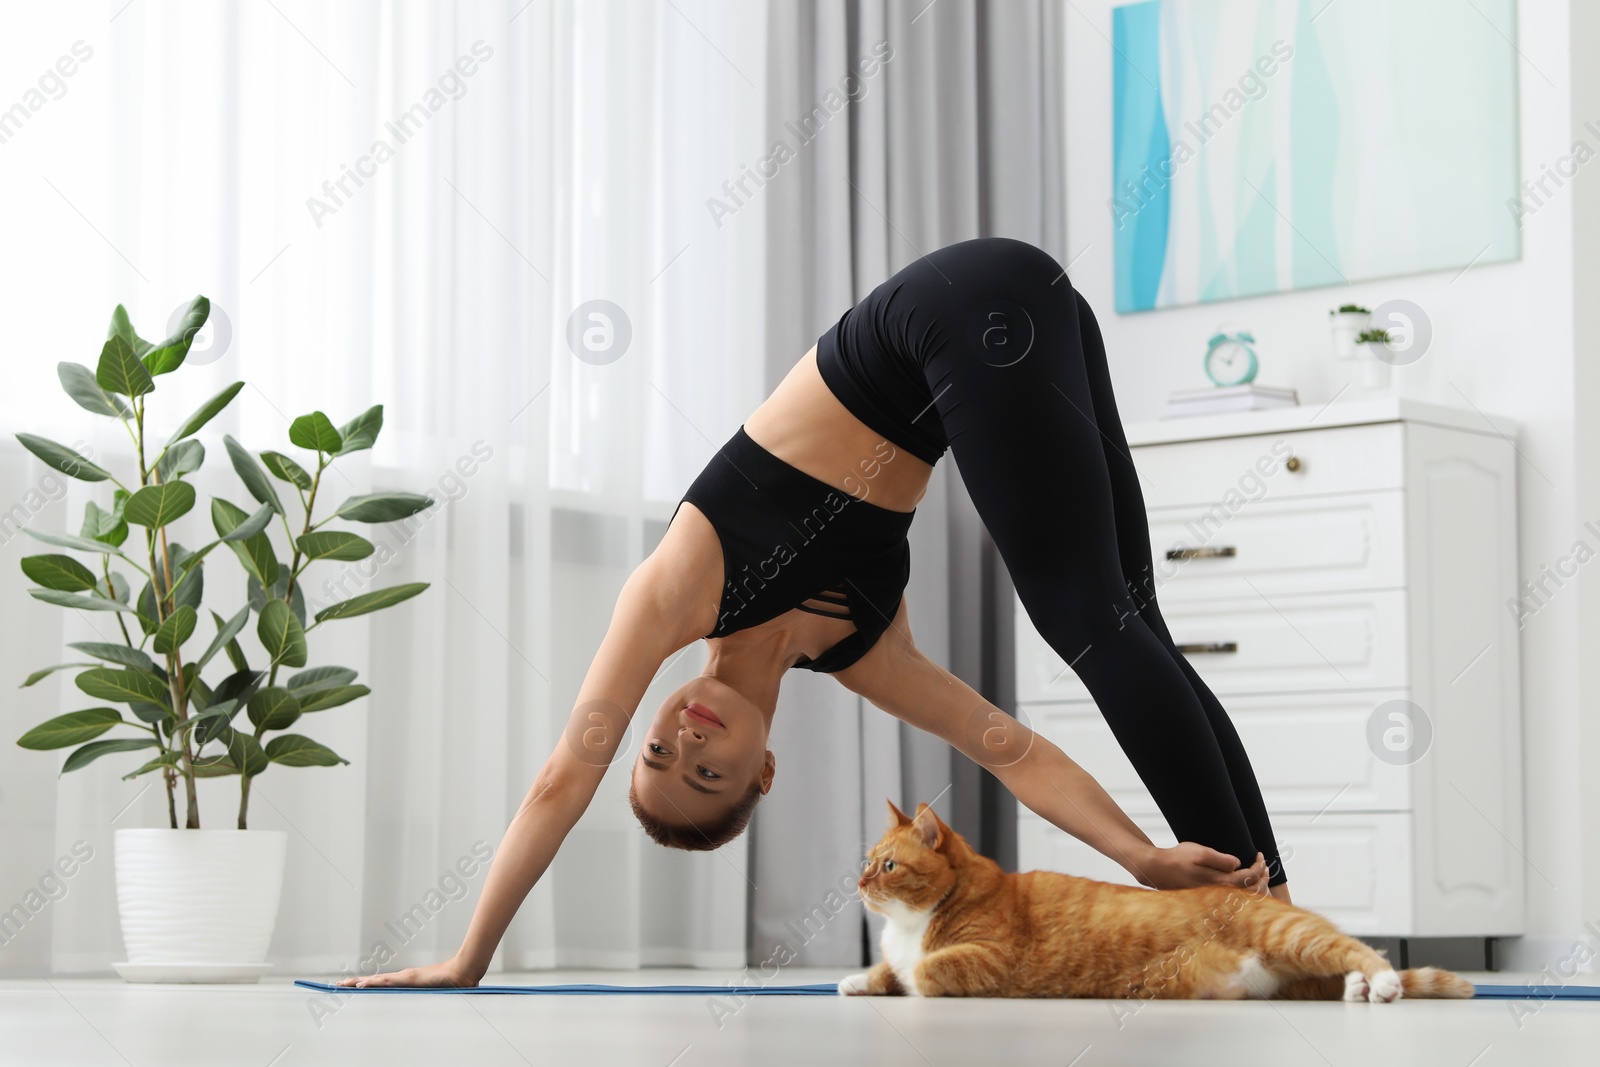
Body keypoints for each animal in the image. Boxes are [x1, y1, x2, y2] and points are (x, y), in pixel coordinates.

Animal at [838, 806, 1472, 1004]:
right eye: (868, 860)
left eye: (888, 866)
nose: (859, 883)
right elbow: (887, 969)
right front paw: (858, 979)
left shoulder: (993, 957)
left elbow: (924, 970)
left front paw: (905, 977)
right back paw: (1357, 989)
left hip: (1292, 937)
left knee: (1366, 950)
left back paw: (1379, 983)